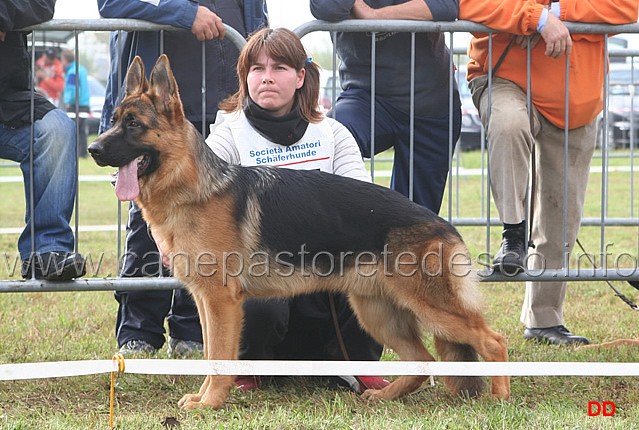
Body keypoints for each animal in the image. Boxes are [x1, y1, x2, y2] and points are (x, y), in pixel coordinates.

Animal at [89, 55, 510, 412]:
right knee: (422, 363)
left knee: (493, 341)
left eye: (133, 125)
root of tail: (443, 225)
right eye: (113, 120)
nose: (92, 149)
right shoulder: (207, 302)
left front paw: (210, 403)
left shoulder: (221, 302)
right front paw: (206, 398)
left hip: (429, 307)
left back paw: (499, 396)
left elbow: (220, 357)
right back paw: (384, 395)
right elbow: (210, 355)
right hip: (376, 312)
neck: (194, 187)